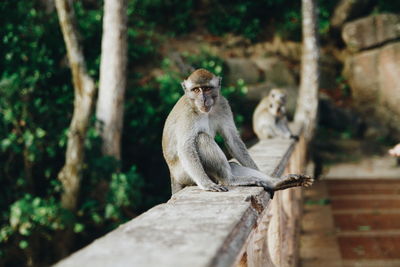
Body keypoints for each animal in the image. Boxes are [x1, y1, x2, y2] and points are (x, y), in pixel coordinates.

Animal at [161, 68, 310, 195]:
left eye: (207, 89)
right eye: (196, 90)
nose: (203, 99)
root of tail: (173, 175)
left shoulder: (223, 104)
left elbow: (232, 139)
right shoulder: (187, 114)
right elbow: (185, 147)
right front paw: (207, 185)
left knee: (232, 164)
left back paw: (276, 183)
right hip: (184, 174)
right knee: (201, 138)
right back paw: (230, 180)